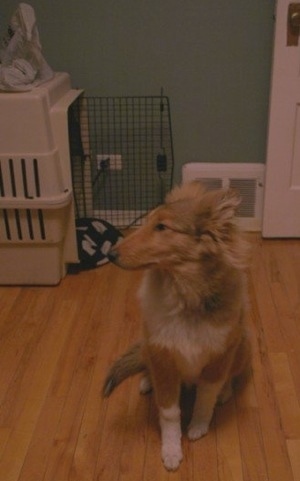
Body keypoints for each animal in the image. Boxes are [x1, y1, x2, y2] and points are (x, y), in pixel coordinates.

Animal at [103, 180, 251, 468]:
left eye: (162, 227)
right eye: (148, 222)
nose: (110, 254)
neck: (184, 297)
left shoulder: (218, 358)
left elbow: (205, 398)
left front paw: (198, 427)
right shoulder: (164, 358)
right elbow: (169, 412)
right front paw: (171, 451)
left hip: (240, 348)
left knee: (230, 376)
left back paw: (225, 393)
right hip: (148, 345)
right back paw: (147, 381)